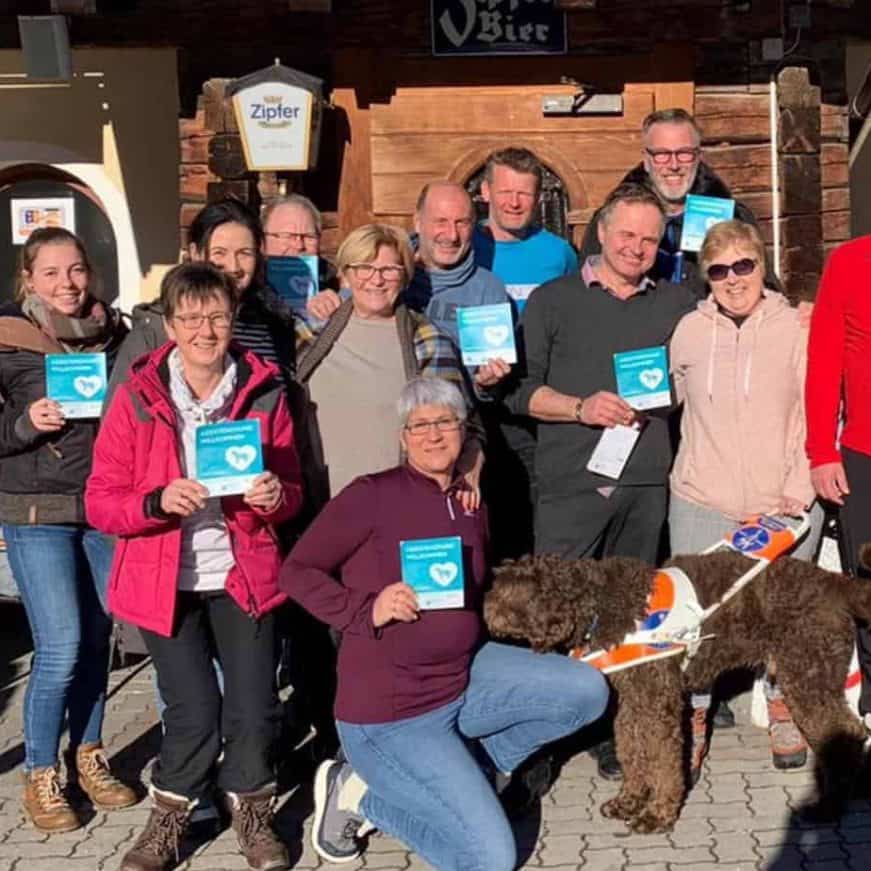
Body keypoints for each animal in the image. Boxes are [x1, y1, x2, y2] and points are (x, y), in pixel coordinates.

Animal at [484, 556, 871, 836]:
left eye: (506, 593)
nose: (484, 607)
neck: (603, 603)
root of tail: (833, 581)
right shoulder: (632, 704)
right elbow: (633, 753)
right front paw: (629, 801)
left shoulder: (658, 703)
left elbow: (663, 761)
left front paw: (657, 816)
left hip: (809, 679)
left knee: (847, 734)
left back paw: (827, 807)